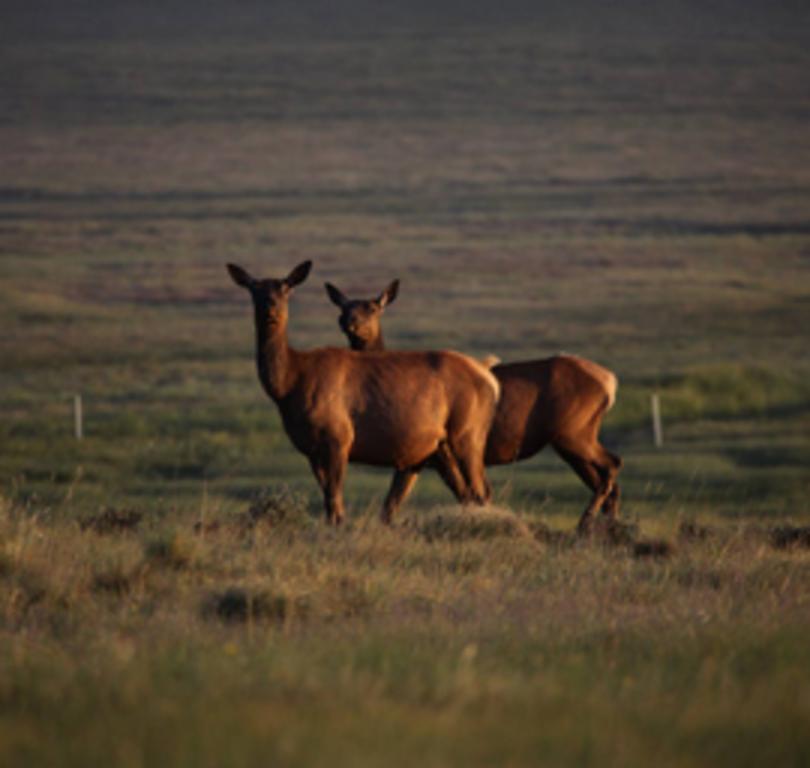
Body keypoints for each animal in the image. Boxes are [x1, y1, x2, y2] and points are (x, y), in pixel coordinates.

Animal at [224, 260, 496, 524]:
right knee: (468, 493)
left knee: (480, 491)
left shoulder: (339, 436)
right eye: (253, 289)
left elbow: (336, 502)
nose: (270, 309)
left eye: (286, 288)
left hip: (468, 433)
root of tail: (489, 380)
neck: (289, 385)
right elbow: (328, 501)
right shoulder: (310, 449)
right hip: (440, 448)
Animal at [326, 278, 620, 536]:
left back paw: (587, 524)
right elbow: (391, 505)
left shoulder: (435, 452)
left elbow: (463, 495)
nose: (348, 322)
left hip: (574, 430)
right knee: (606, 481)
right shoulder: (415, 457)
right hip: (571, 439)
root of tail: (609, 381)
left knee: (612, 464)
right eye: (343, 307)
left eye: (373, 308)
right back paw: (605, 528)